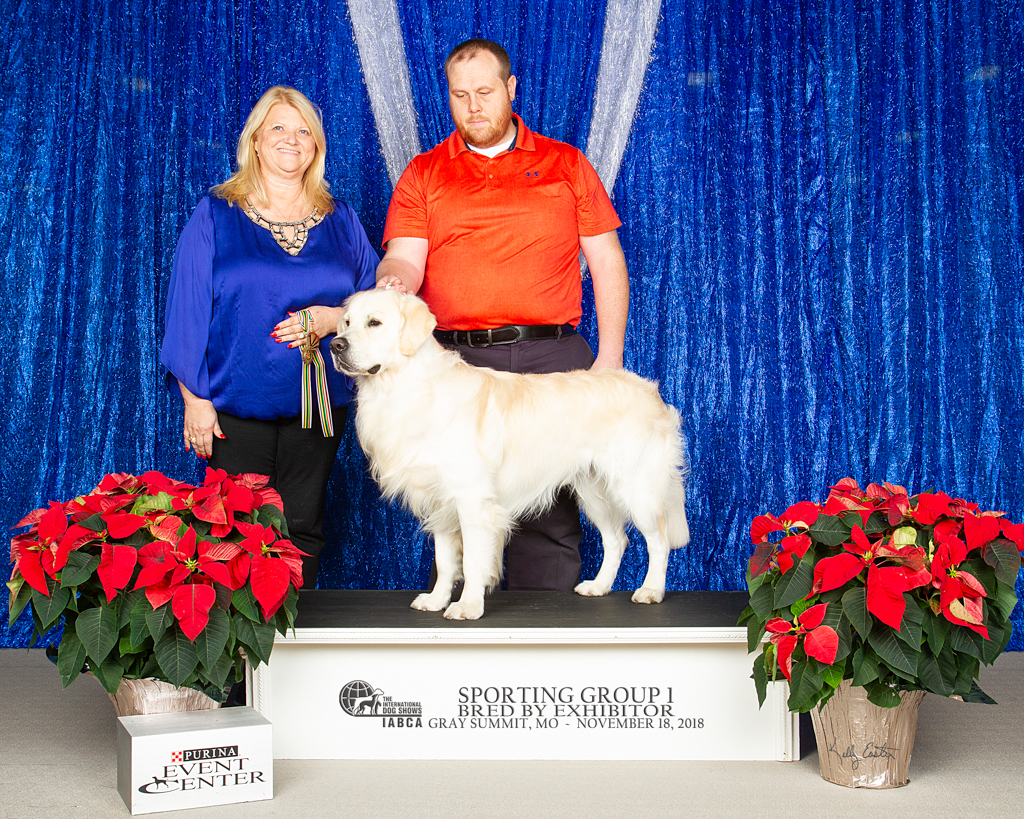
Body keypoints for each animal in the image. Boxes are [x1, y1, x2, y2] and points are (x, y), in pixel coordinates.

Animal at [330, 289, 689, 620]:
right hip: (593, 491)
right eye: (346, 322)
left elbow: (473, 561)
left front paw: (468, 607)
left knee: (658, 541)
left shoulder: (472, 500)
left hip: (637, 488)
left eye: (374, 323)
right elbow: (445, 561)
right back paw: (598, 586)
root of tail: (651, 392)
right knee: (616, 539)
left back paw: (651, 590)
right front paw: (436, 600)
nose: (335, 345)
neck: (406, 387)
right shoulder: (441, 501)